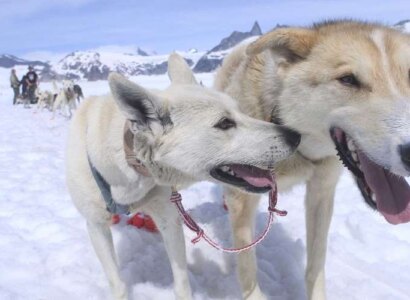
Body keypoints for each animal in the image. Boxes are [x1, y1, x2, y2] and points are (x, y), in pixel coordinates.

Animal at [65, 53, 300, 300]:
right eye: (225, 123)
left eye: (240, 111)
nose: (294, 135)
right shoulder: (96, 226)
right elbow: (118, 284)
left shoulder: (169, 220)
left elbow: (181, 282)